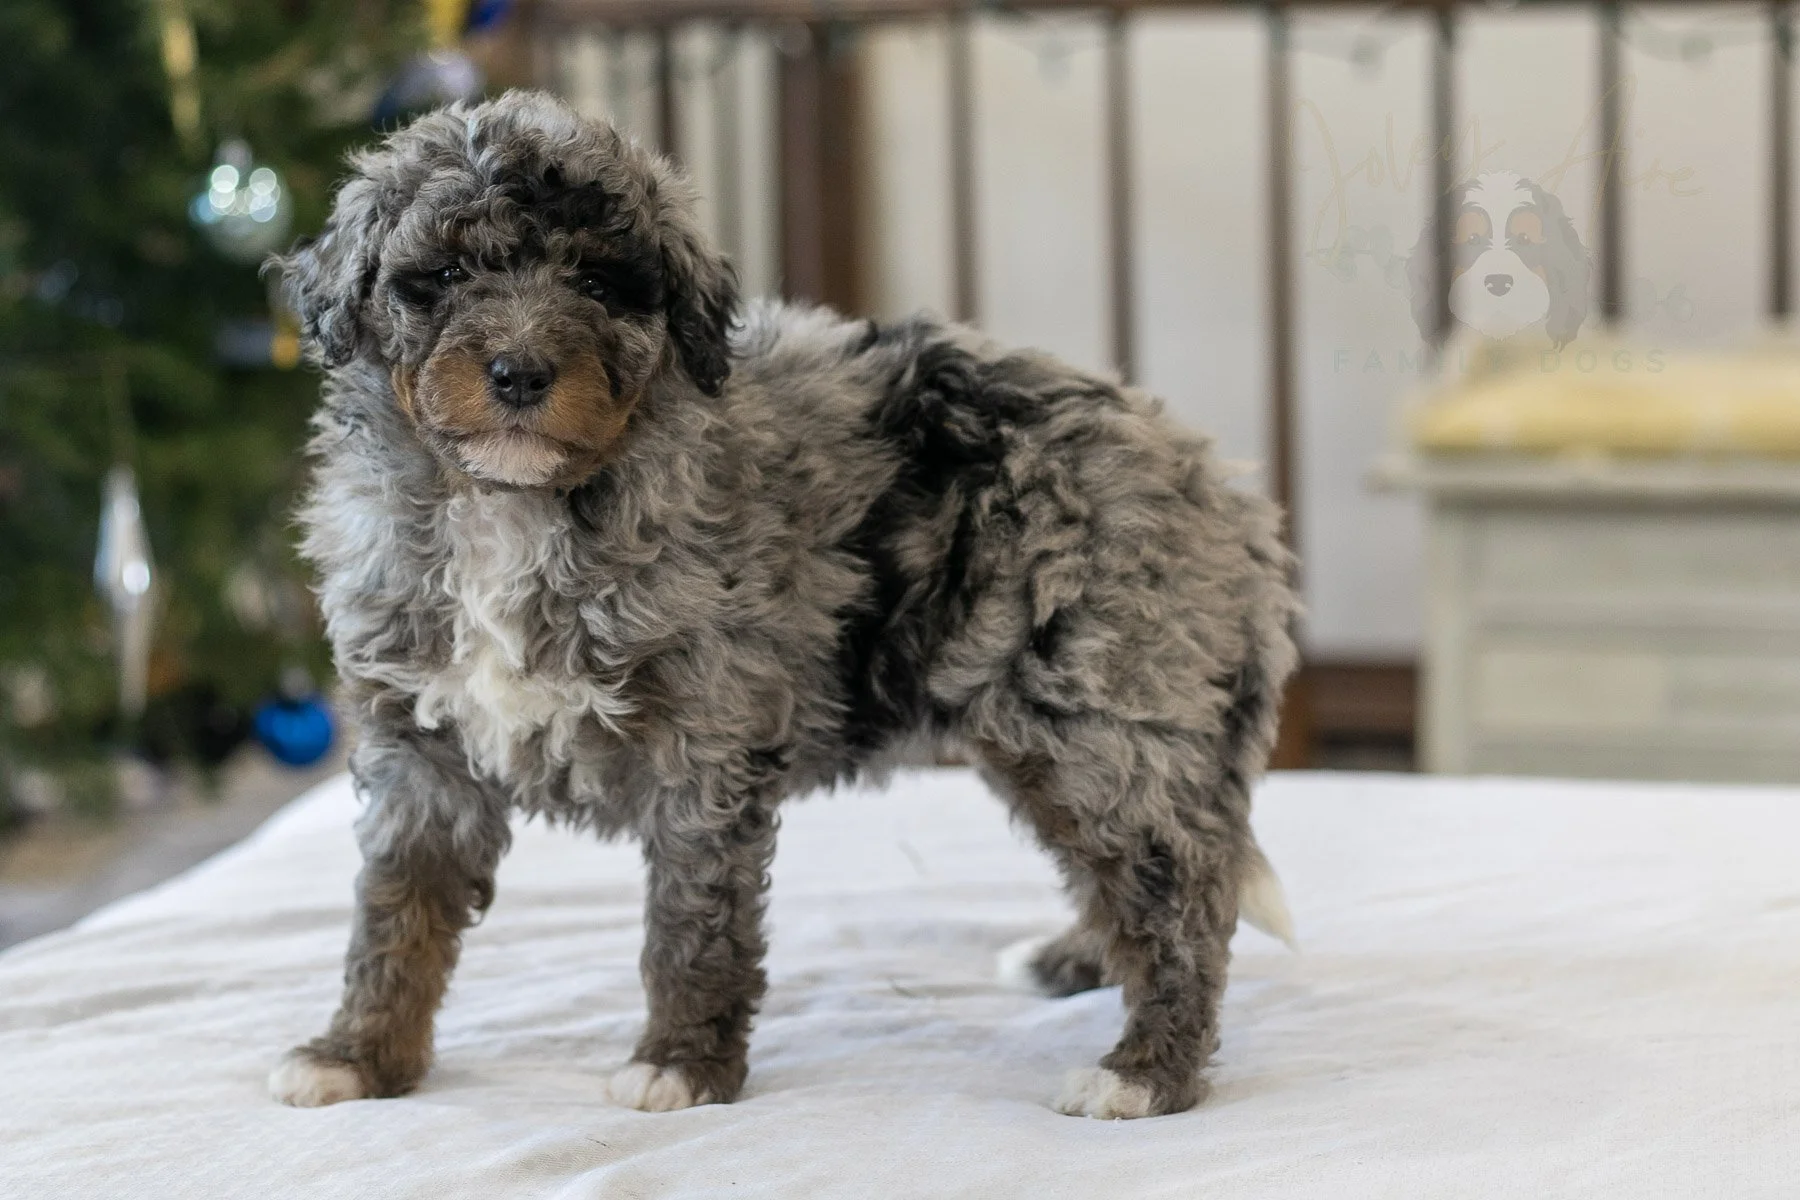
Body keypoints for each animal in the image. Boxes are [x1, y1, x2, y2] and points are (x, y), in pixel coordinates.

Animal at [267, 90, 1300, 1121]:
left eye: (599, 283)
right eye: (440, 275)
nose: (520, 374)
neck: (512, 504)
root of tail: (1217, 483)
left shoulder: (706, 744)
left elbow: (692, 922)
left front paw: (679, 1064)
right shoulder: (419, 749)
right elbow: (395, 914)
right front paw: (358, 1055)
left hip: (1097, 702)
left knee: (1177, 885)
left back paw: (1145, 1070)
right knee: (1123, 869)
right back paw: (1083, 966)